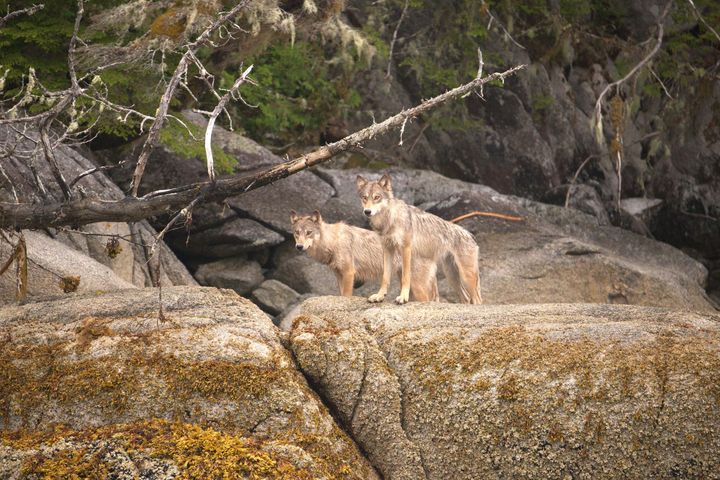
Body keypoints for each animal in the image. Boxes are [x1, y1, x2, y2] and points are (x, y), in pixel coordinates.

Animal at [290, 210, 438, 300]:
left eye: (308, 232)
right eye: (297, 233)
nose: (299, 247)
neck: (332, 241)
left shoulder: (349, 273)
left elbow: (346, 296)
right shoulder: (339, 274)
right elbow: (341, 294)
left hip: (416, 286)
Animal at [356, 173, 482, 305]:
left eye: (377, 197)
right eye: (364, 198)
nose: (367, 211)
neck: (389, 219)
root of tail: (469, 235)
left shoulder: (406, 249)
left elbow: (406, 277)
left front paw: (403, 297)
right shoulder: (387, 249)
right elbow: (385, 277)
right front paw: (379, 296)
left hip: (466, 277)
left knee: (477, 300)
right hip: (452, 276)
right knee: (466, 298)